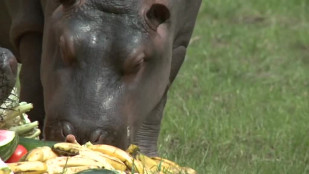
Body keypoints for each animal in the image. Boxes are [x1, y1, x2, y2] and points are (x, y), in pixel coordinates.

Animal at [0, 0, 201, 155]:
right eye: (64, 46)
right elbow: (34, 86)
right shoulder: (31, 26)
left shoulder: (178, 45)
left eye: (138, 62)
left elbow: (154, 113)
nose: (82, 134)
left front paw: (147, 157)